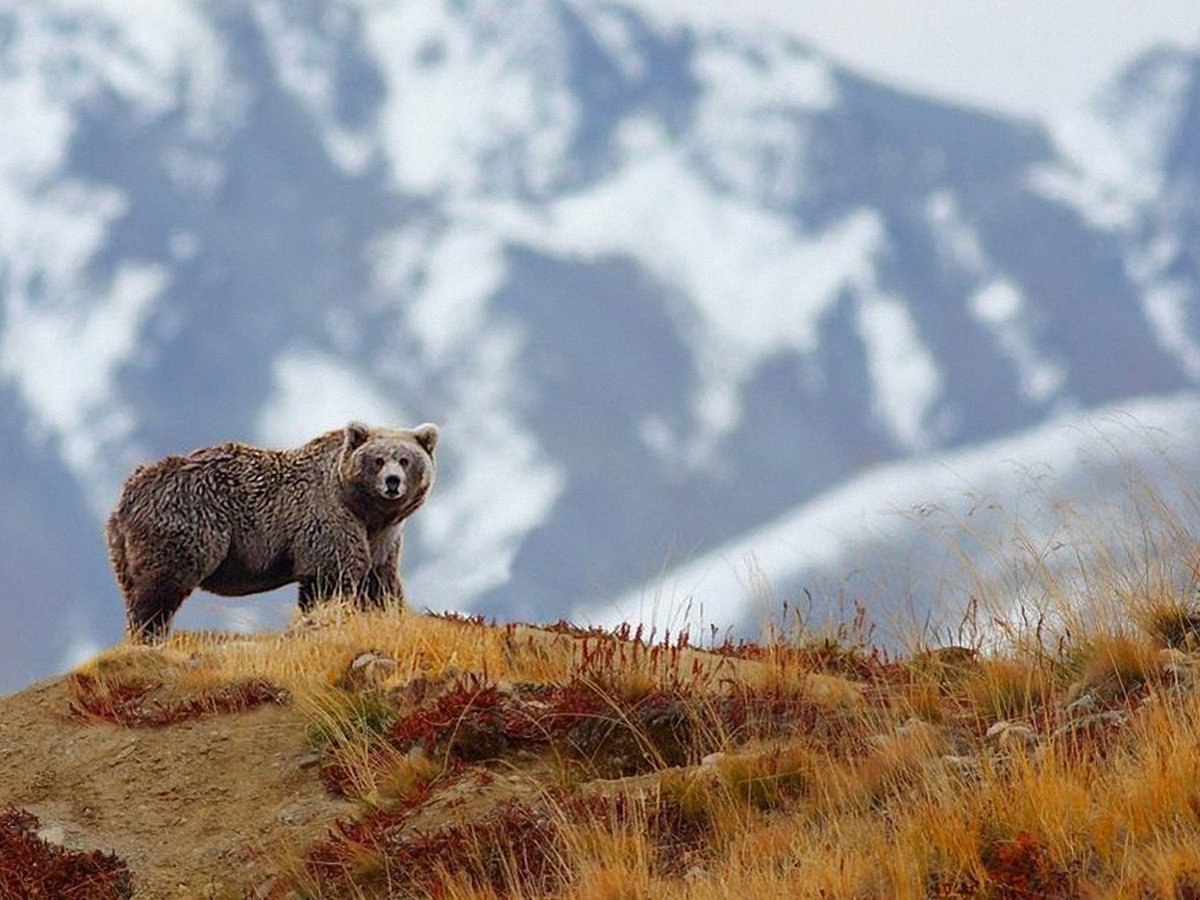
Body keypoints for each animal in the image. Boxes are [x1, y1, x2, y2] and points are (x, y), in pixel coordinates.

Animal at [105, 422, 439, 643]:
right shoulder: (326, 521)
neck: (365, 510)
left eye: (405, 459)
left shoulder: (383, 538)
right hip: (186, 523)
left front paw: (390, 612)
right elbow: (330, 579)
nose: (393, 482)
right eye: (378, 460)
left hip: (123, 549)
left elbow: (379, 582)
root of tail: (129, 492)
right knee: (160, 589)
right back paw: (149, 635)